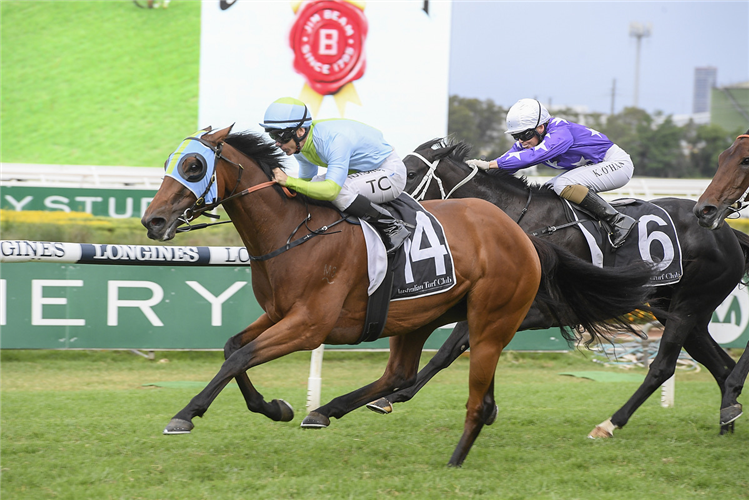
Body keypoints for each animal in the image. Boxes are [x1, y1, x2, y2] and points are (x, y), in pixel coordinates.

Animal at [140, 125, 656, 464]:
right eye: (169, 163)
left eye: (193, 165)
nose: (153, 220)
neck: (295, 231)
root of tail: (525, 237)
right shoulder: (279, 314)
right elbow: (234, 348)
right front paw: (275, 407)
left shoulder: (308, 325)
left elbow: (240, 357)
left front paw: (185, 414)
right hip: (419, 316)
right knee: (399, 373)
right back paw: (327, 410)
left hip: (485, 313)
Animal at [366, 137, 748, 438]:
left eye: (409, 174)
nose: (376, 210)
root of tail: (725, 230)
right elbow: (463, 349)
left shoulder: (541, 309)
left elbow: (453, 347)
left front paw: (393, 396)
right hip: (680, 311)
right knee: (721, 366)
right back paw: (727, 419)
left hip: (687, 306)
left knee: (663, 367)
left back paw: (609, 424)